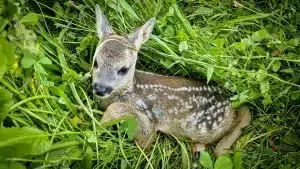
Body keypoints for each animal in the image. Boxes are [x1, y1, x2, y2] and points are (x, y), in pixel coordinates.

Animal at [91, 4, 251, 157]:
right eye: (95, 62)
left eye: (124, 69)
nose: (100, 89)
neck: (129, 90)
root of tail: (229, 102)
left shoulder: (148, 121)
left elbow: (141, 136)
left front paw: (99, 126)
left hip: (202, 126)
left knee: (243, 115)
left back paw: (223, 149)